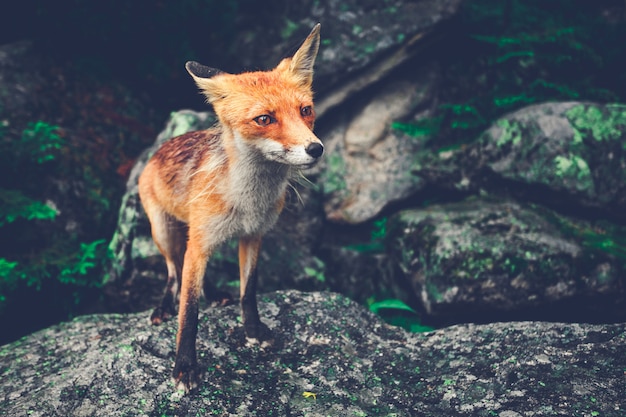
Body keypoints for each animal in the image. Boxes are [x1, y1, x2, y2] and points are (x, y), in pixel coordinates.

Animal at [136, 24, 322, 392]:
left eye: (305, 110)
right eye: (264, 118)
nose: (315, 149)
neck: (248, 201)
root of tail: (157, 149)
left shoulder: (254, 235)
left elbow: (247, 292)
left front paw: (253, 331)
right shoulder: (200, 244)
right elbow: (189, 311)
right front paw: (185, 367)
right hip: (164, 233)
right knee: (173, 273)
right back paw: (163, 305)